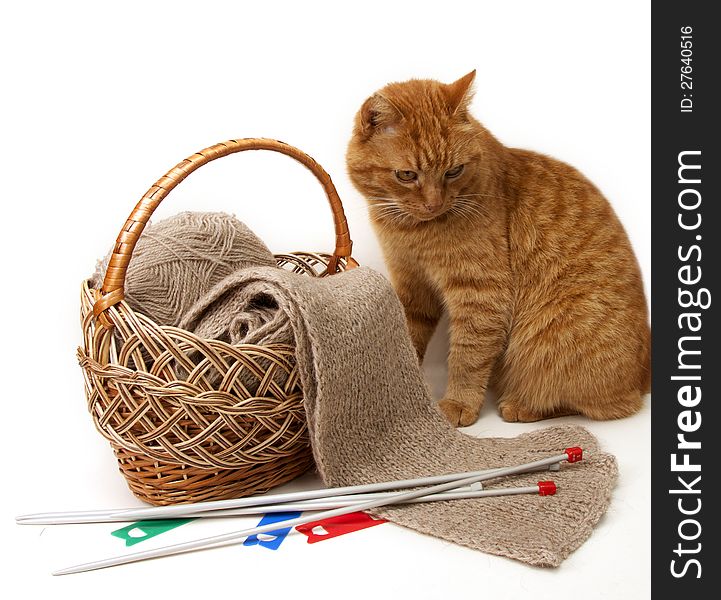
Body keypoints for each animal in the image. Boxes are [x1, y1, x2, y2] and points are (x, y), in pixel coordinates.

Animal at [346, 71, 648, 426]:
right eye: (406, 175)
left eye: (453, 171)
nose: (435, 203)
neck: (412, 231)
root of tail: (645, 375)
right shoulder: (412, 287)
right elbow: (407, 337)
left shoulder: (481, 294)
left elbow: (468, 356)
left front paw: (458, 403)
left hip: (552, 338)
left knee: (599, 404)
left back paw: (522, 405)